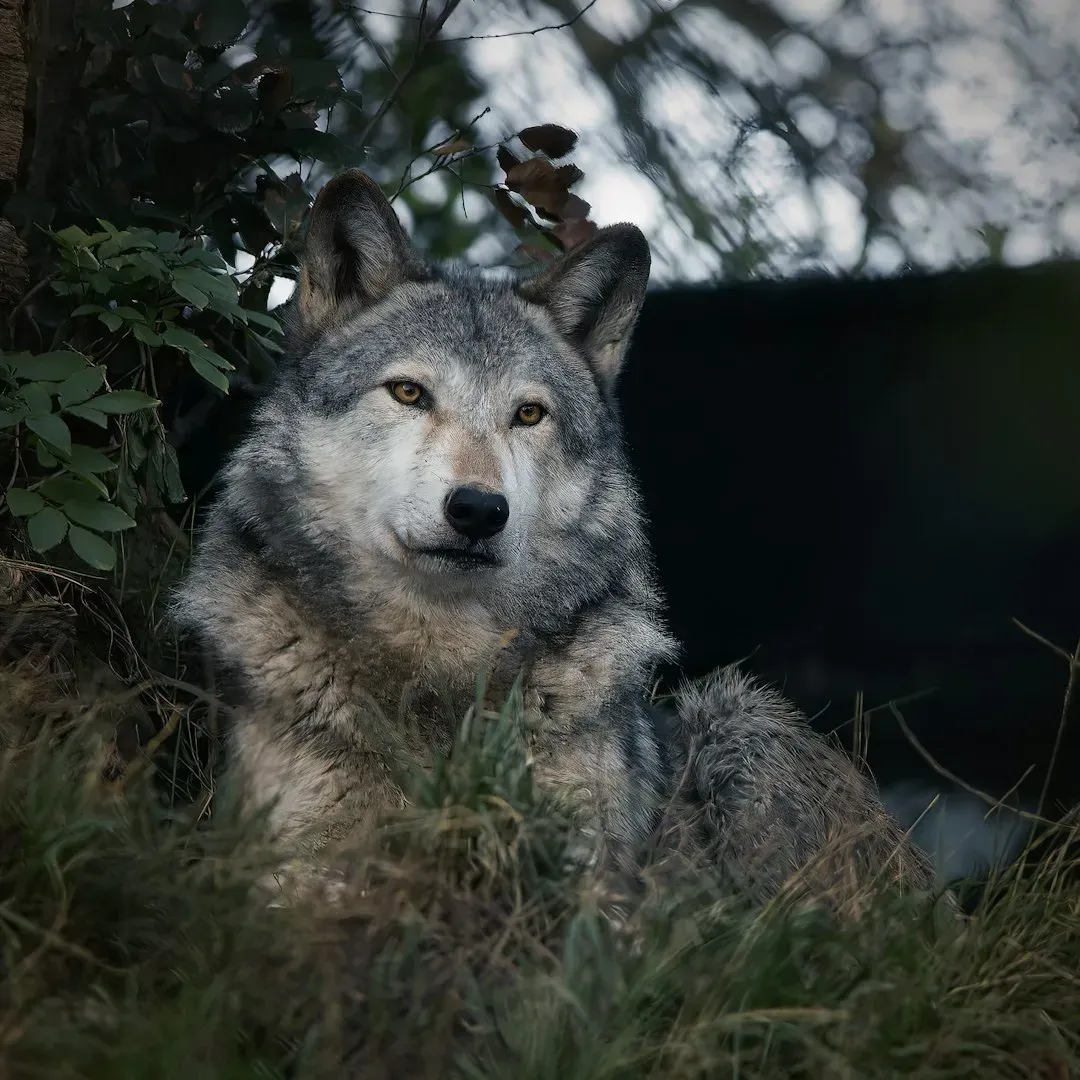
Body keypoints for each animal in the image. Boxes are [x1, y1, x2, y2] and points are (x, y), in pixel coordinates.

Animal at [174, 169, 936, 901]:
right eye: (409, 393)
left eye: (529, 414)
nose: (479, 510)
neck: (439, 670)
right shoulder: (286, 868)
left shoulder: (585, 885)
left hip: (737, 716)